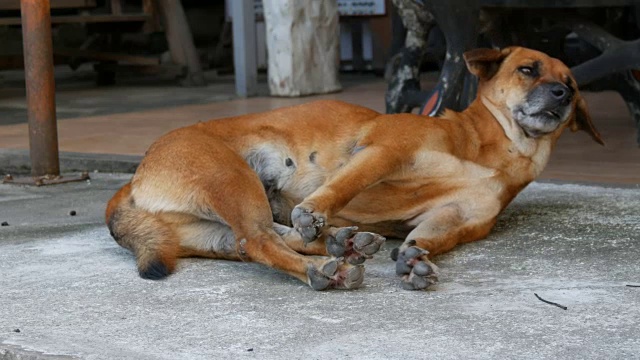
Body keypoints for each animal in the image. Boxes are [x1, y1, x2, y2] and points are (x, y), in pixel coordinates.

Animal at [107, 47, 604, 290]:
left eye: (572, 83)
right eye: (528, 69)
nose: (562, 94)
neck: (491, 150)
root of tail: (133, 180)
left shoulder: (455, 218)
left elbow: (426, 238)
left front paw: (414, 258)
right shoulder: (384, 150)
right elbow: (344, 186)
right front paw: (314, 212)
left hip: (220, 222)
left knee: (259, 240)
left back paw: (342, 244)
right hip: (233, 177)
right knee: (258, 241)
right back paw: (327, 265)